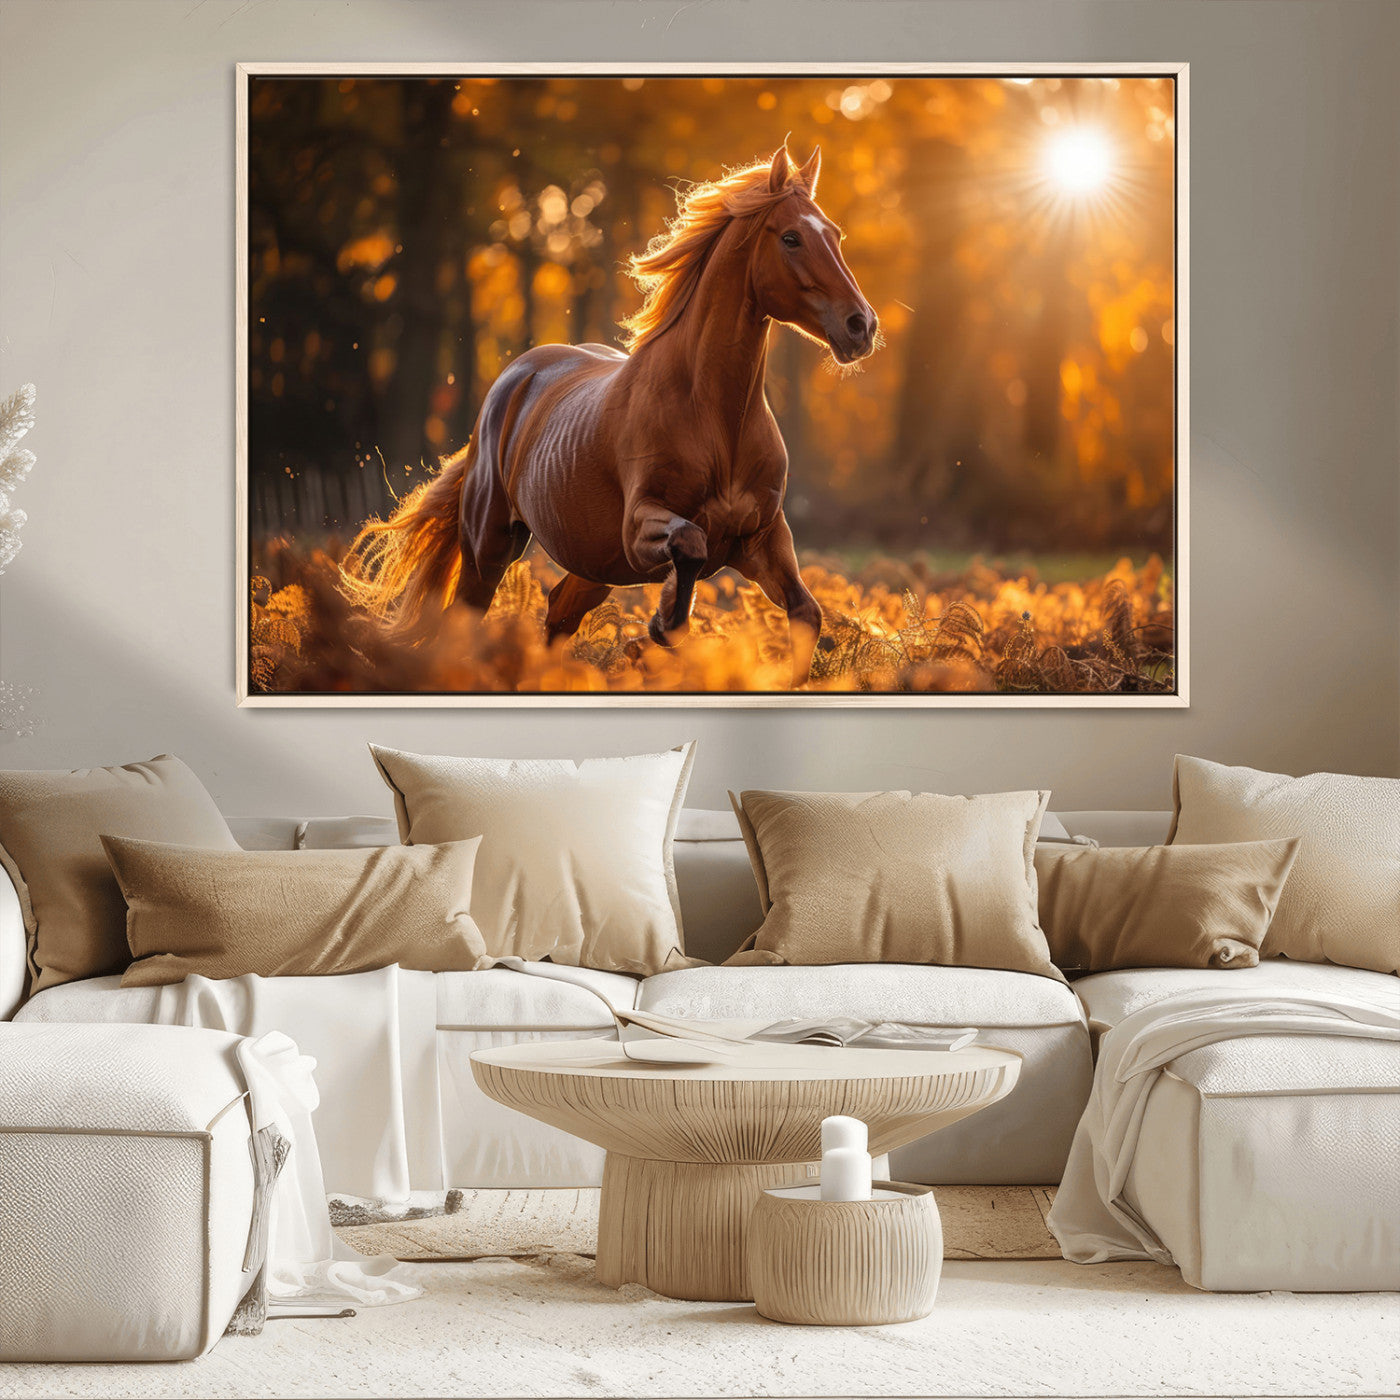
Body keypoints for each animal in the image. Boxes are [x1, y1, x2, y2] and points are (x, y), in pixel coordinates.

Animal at [339, 144, 878, 687]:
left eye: (834, 234)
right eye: (790, 237)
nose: (862, 326)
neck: (715, 419)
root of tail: (513, 379)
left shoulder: (763, 539)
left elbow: (807, 613)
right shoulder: (640, 530)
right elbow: (689, 550)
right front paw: (657, 626)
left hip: (592, 565)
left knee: (559, 612)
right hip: (490, 547)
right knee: (467, 620)